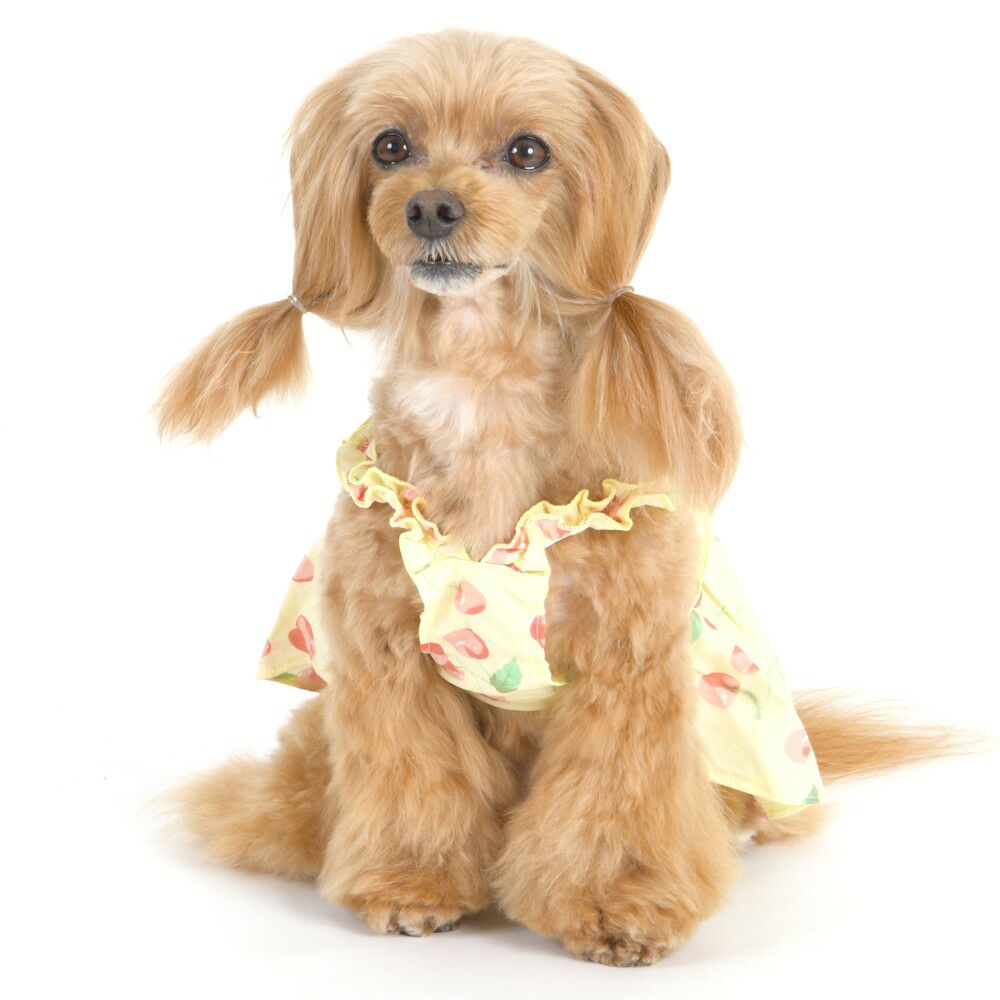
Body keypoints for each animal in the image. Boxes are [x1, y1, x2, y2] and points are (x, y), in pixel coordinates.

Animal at [157, 30, 957, 966]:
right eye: (390, 145)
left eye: (527, 152)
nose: (430, 206)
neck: (483, 391)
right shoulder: (389, 663)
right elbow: (412, 781)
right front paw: (410, 884)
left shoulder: (626, 667)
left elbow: (614, 801)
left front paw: (618, 908)